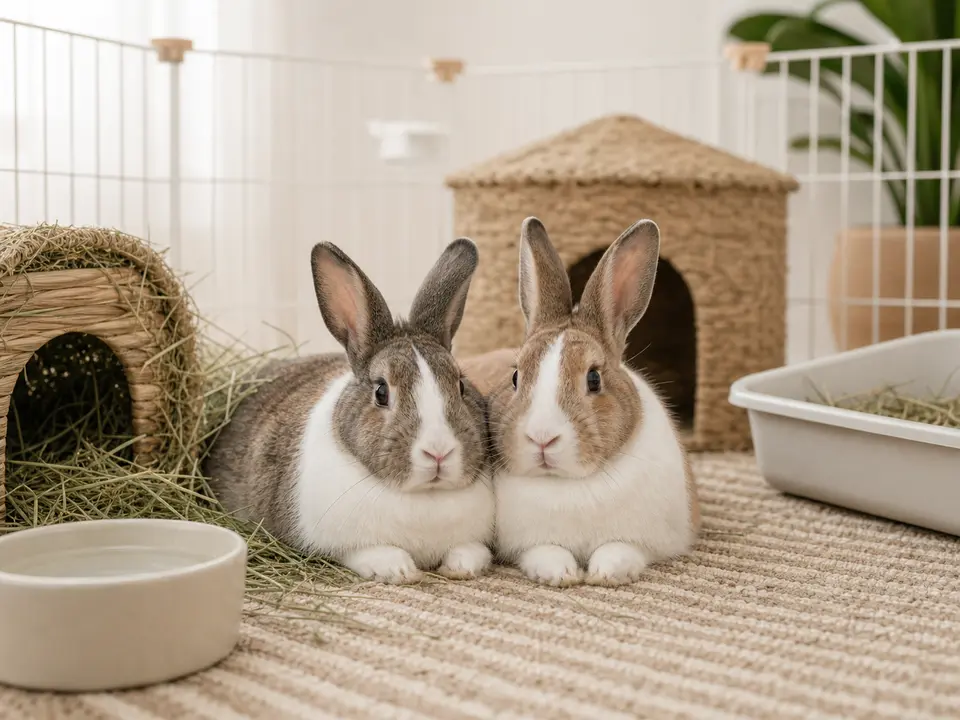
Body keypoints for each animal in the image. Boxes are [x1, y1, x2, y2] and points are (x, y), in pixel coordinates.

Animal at [205, 238, 495, 585]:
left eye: (460, 385)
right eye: (381, 392)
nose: (438, 453)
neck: (425, 495)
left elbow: (473, 550)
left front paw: (460, 568)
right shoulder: (342, 543)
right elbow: (370, 553)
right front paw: (400, 571)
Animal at [468, 217, 700, 588]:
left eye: (594, 379)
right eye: (516, 377)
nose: (542, 438)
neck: (571, 484)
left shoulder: (644, 542)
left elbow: (619, 549)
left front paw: (605, 573)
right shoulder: (529, 544)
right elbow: (546, 551)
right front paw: (562, 574)